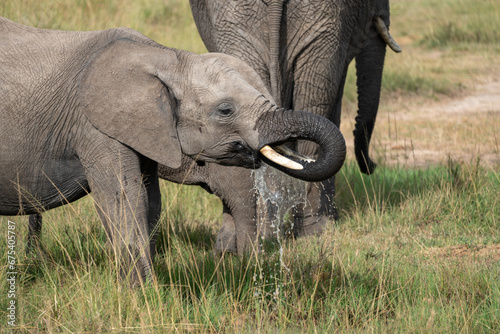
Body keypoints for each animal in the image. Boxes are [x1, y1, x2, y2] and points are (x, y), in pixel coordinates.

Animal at [0, 17, 348, 284]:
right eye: (225, 110)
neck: (165, 57)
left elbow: (144, 200)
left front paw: (144, 291)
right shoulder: (97, 125)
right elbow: (127, 198)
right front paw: (142, 293)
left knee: (239, 199)